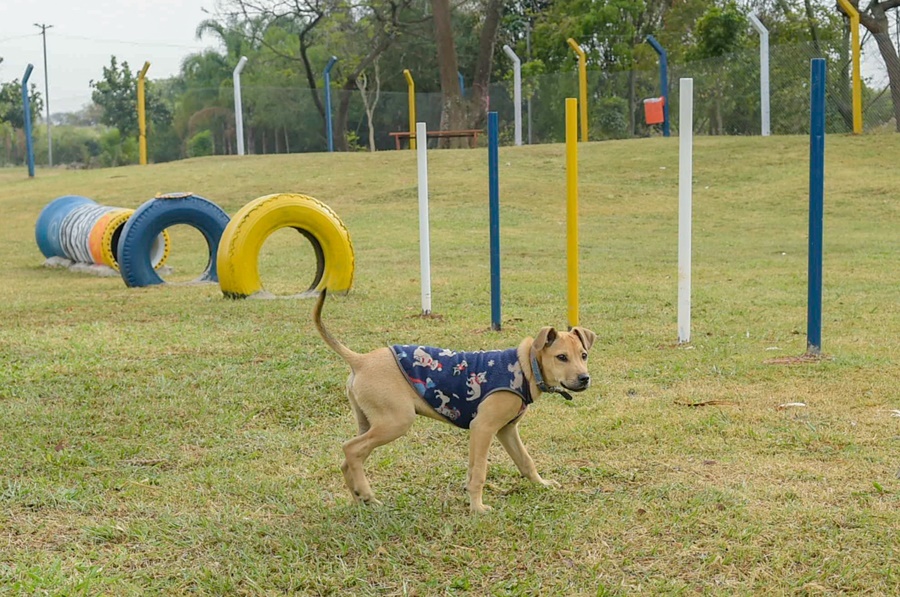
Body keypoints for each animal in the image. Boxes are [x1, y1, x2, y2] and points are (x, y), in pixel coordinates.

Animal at [312, 290, 596, 512]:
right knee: (351, 449)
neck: (525, 367)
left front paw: (542, 485)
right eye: (561, 357)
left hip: (370, 422)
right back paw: (367, 494)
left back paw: (360, 500)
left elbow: (524, 461)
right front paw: (478, 508)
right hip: (396, 422)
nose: (584, 378)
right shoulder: (483, 428)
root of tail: (360, 359)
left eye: (583, 355)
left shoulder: (506, 430)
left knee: (349, 458)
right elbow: (479, 472)